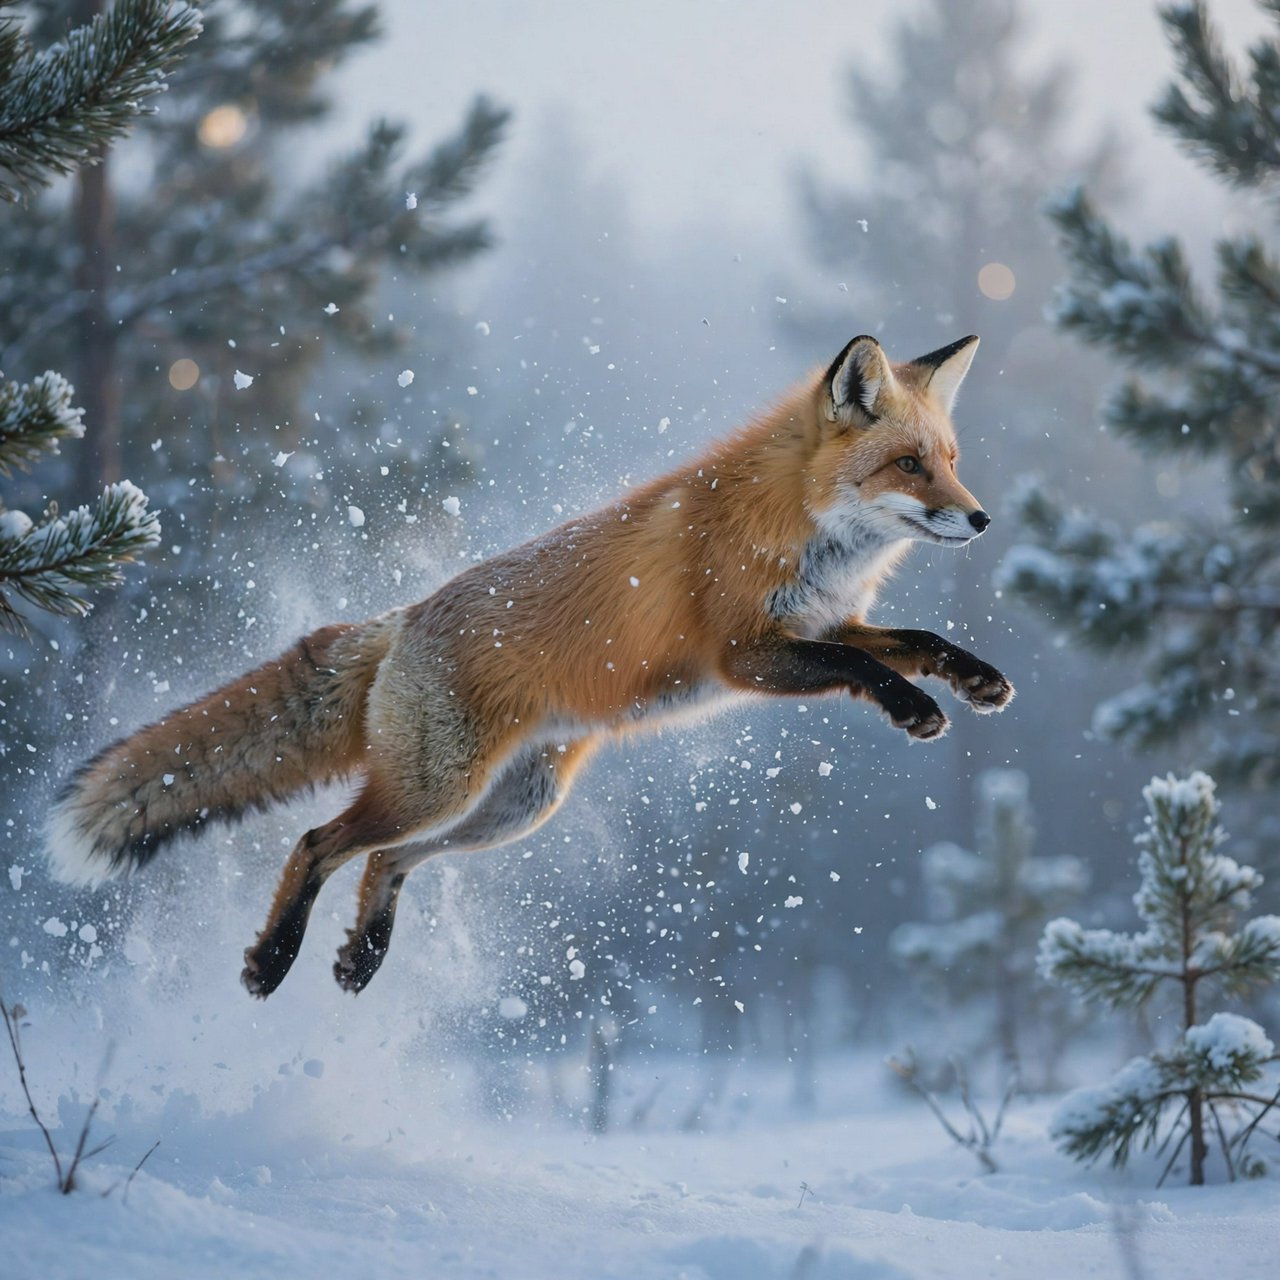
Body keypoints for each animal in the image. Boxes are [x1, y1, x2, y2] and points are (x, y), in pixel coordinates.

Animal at [48, 333, 1013, 998]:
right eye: (908, 465)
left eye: (950, 461)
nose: (981, 519)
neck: (802, 531)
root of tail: (401, 621)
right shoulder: (747, 654)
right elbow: (866, 669)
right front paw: (916, 709)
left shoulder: (828, 621)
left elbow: (914, 641)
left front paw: (974, 678)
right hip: (438, 787)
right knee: (319, 842)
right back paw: (271, 961)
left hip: (515, 807)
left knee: (386, 861)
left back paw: (362, 956)